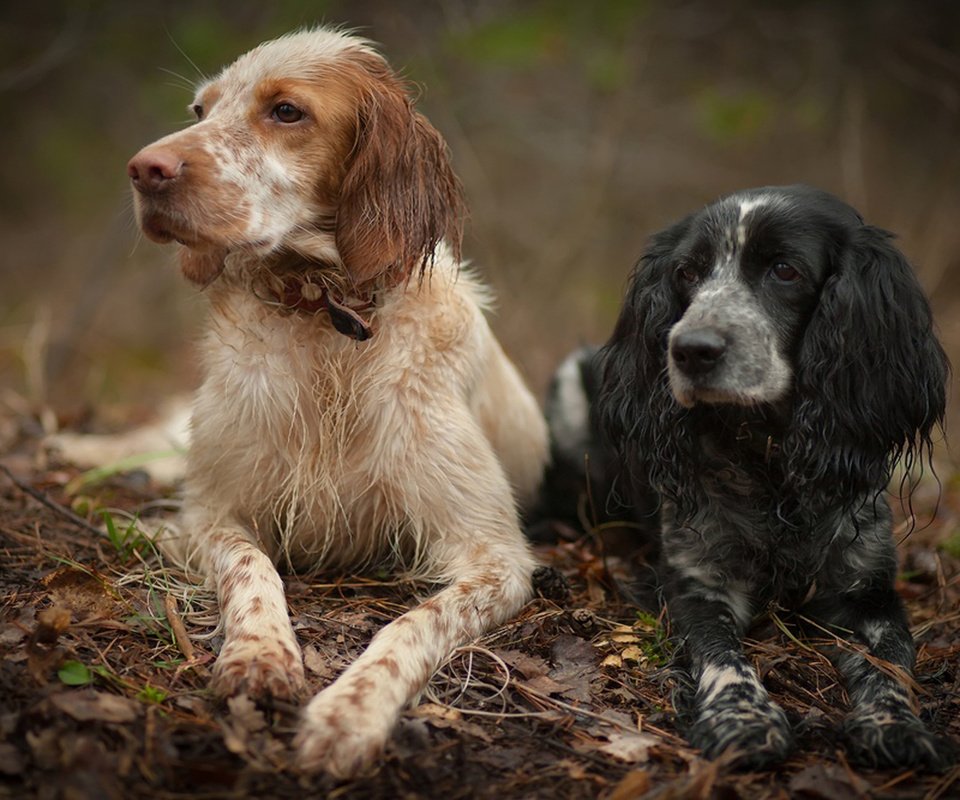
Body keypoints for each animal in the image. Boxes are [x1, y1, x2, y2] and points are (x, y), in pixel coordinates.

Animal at [548, 186, 952, 768]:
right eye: (688, 272)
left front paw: (895, 724)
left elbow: (892, 665)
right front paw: (743, 718)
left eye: (784, 270)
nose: (689, 349)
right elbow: (722, 656)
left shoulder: (868, 591)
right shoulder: (696, 582)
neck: (771, 463)